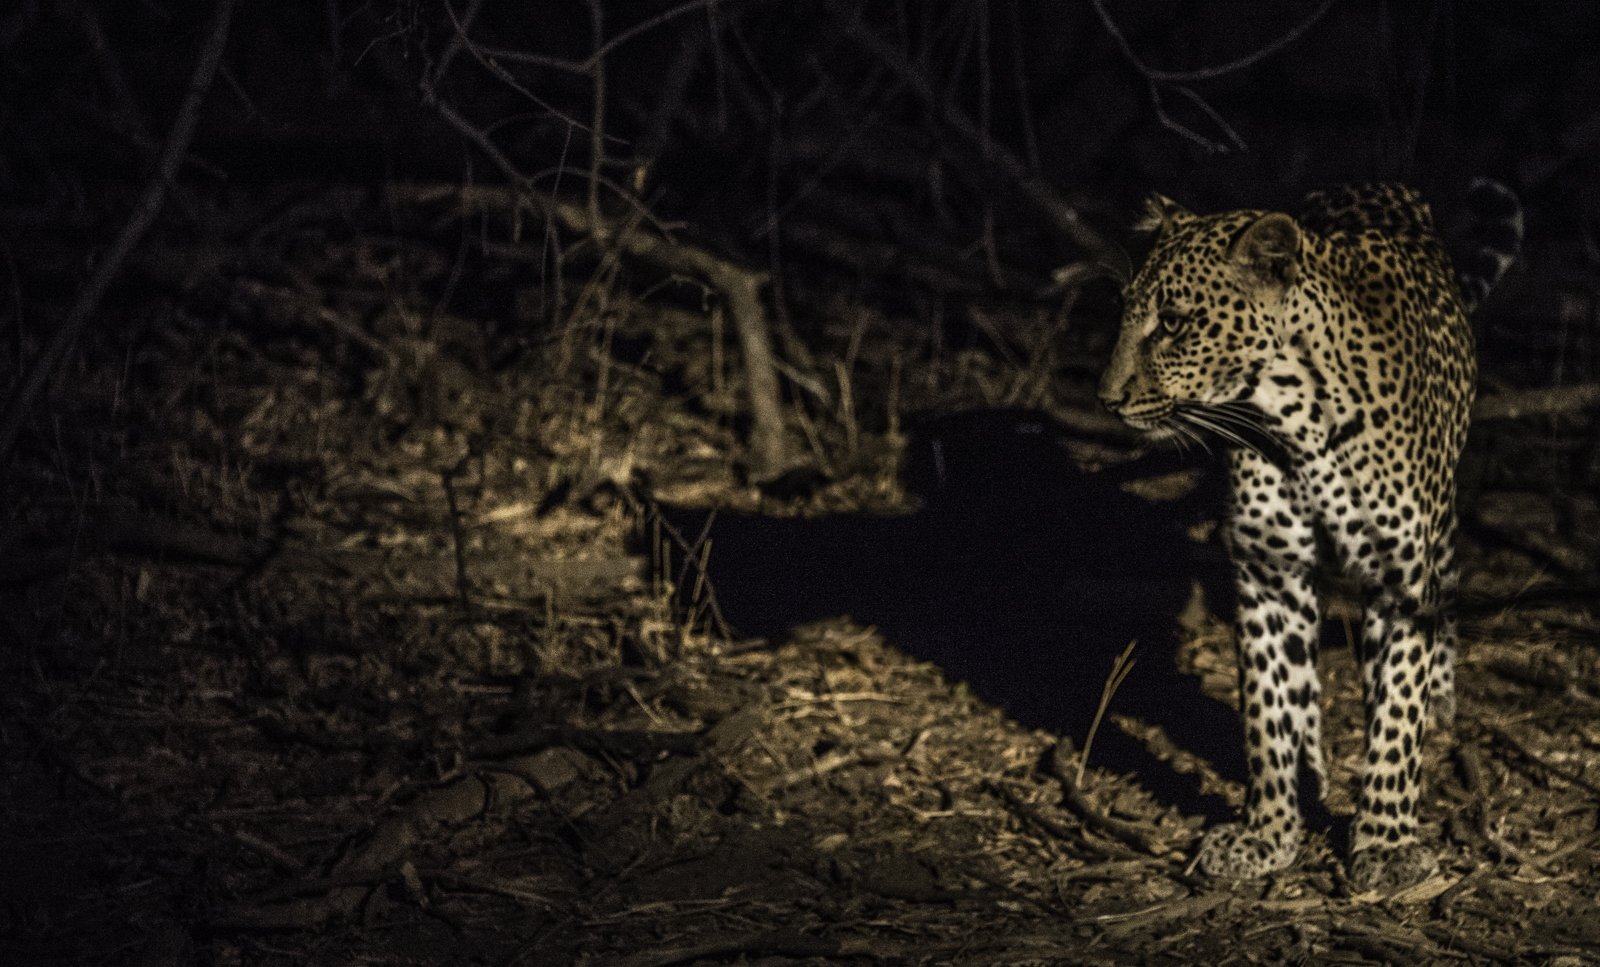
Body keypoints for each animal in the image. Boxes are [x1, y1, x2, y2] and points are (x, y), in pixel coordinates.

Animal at [1097, 181, 1521, 893]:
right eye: (1126, 312)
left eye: (1174, 322)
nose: (1106, 398)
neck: (1294, 421)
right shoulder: (1269, 573)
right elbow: (1268, 712)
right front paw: (1267, 832)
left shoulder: (1399, 583)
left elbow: (1395, 716)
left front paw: (1386, 841)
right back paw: (1312, 763)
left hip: (1439, 523)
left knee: (1442, 601)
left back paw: (1439, 704)